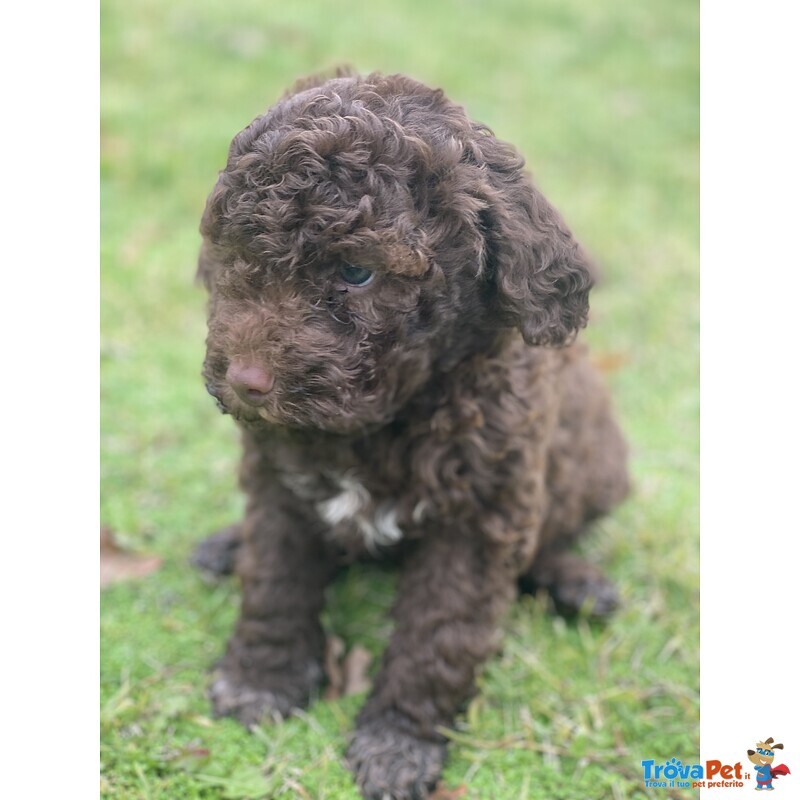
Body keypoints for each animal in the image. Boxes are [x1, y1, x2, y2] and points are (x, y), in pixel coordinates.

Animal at [197, 72, 628, 796]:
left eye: (357, 272)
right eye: (241, 254)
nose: (246, 380)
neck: (379, 425)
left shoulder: (481, 518)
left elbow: (439, 633)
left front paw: (398, 741)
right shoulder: (279, 483)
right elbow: (275, 580)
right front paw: (261, 679)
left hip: (598, 464)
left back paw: (575, 582)